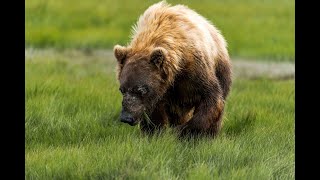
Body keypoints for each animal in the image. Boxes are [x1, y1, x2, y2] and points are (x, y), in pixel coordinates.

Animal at [114, 0, 231, 138]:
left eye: (141, 90)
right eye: (122, 89)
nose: (126, 117)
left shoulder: (195, 71)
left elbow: (211, 98)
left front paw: (185, 131)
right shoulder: (161, 92)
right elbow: (155, 115)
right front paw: (154, 133)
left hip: (221, 68)